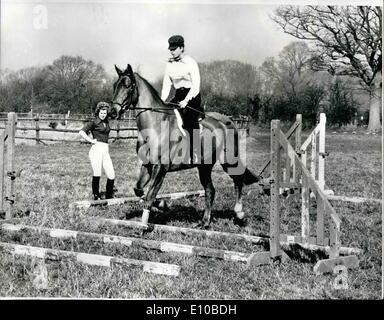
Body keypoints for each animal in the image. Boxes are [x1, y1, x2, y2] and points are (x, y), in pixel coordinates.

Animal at [109, 63, 262, 228]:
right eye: (114, 86)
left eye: (127, 85)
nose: (112, 112)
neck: (155, 125)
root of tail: (227, 121)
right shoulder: (148, 165)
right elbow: (138, 190)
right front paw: (163, 204)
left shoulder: (160, 168)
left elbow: (149, 196)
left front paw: (145, 224)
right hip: (204, 166)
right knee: (210, 190)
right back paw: (205, 222)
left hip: (228, 160)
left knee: (238, 180)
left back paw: (239, 214)